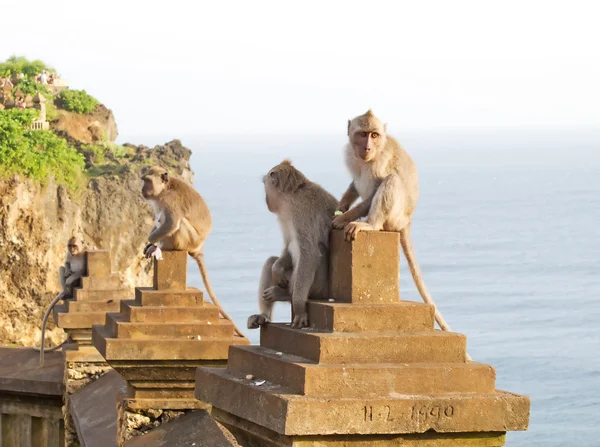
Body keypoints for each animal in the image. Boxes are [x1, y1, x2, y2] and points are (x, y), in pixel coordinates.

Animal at [139, 166, 245, 338]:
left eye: (147, 181)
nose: (142, 189)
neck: (165, 189)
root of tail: (198, 247)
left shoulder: (171, 200)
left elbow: (171, 224)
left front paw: (152, 241)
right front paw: (150, 243)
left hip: (188, 239)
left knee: (179, 223)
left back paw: (164, 246)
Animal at [330, 110, 452, 336]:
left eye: (374, 135)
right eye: (363, 134)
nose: (367, 147)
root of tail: (408, 220)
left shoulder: (380, 161)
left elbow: (374, 190)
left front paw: (343, 218)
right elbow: (355, 184)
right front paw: (342, 206)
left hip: (396, 215)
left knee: (391, 180)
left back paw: (370, 224)